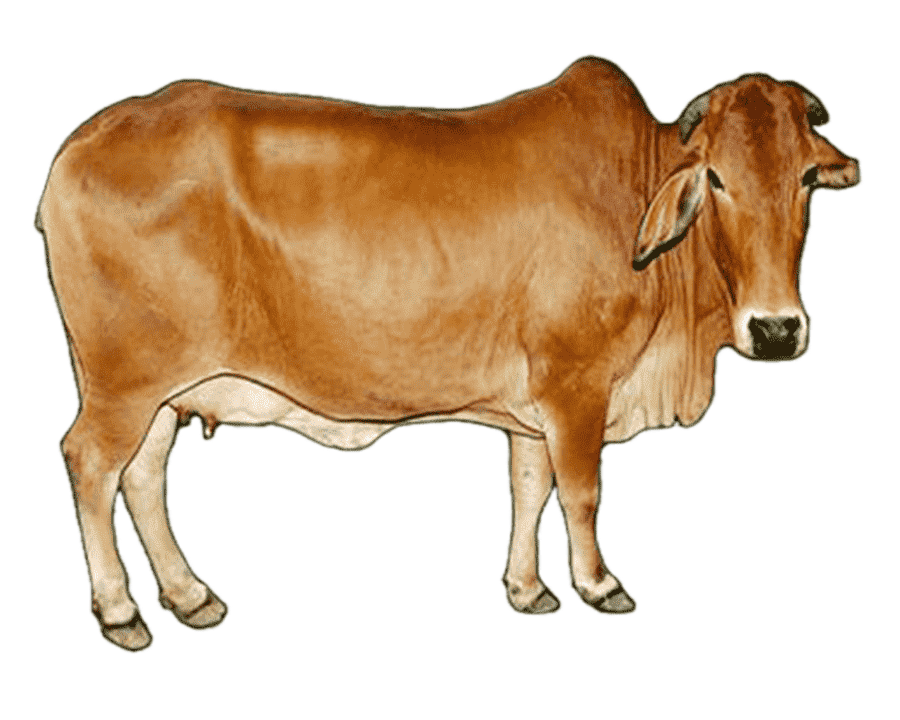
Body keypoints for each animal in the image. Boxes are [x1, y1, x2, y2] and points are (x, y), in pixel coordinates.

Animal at [33, 55, 861, 652]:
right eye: (717, 177)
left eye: (807, 179)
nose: (777, 329)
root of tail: (77, 146)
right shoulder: (577, 384)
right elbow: (582, 492)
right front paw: (599, 586)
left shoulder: (533, 407)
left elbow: (529, 487)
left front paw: (527, 591)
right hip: (123, 384)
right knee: (90, 463)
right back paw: (119, 612)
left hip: (163, 392)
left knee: (143, 477)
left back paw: (190, 597)